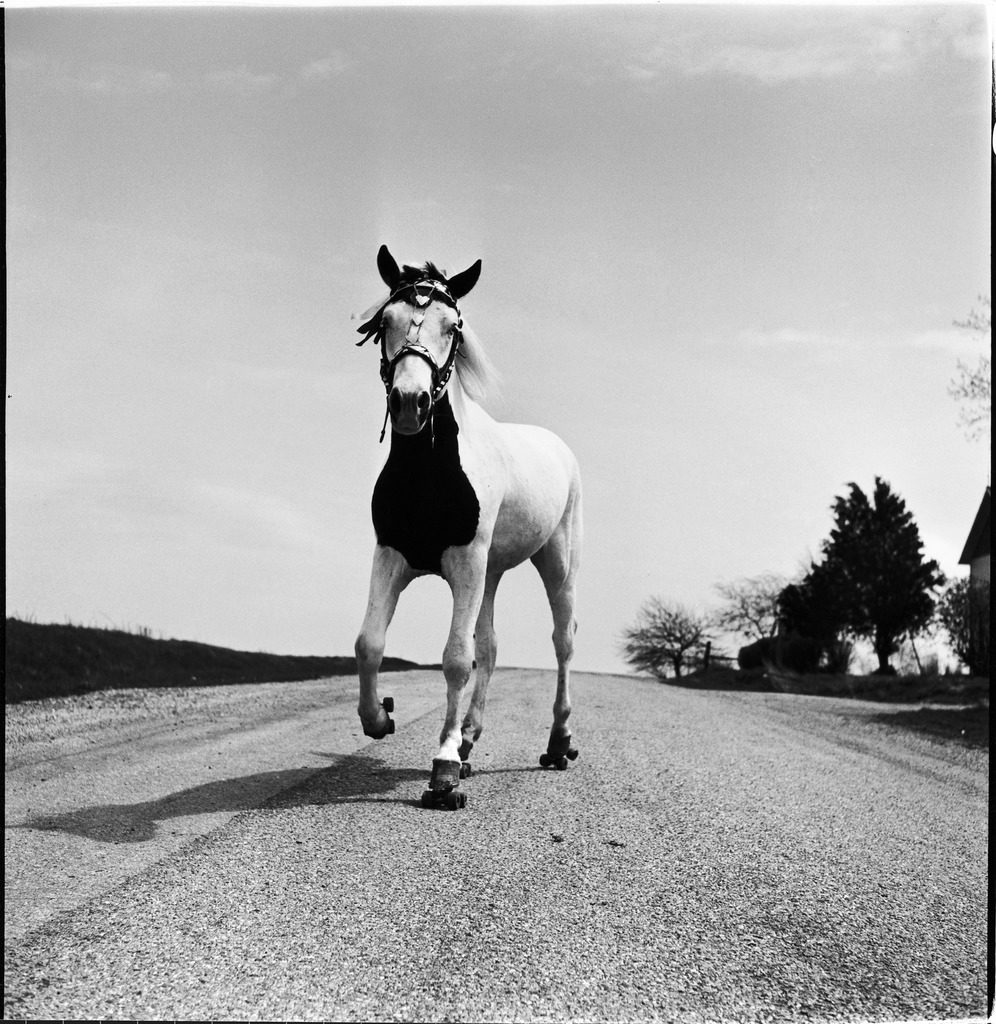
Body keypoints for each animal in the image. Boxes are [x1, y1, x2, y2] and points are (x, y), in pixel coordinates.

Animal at [354, 247, 581, 806]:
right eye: (384, 322)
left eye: (453, 326)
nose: (409, 402)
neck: (430, 475)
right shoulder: (392, 556)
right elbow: (369, 643)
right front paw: (379, 718)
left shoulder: (464, 562)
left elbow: (457, 658)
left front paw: (443, 772)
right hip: (491, 574)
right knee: (491, 645)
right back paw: (470, 741)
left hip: (556, 563)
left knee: (563, 640)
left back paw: (558, 743)